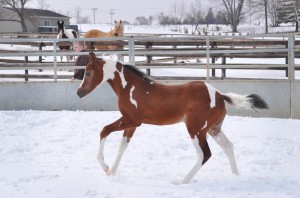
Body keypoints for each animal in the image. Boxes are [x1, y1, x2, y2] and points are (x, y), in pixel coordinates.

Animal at [77, 52, 270, 184]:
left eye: (88, 73)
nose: (79, 92)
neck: (131, 88)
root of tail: (220, 96)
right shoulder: (131, 123)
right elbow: (121, 147)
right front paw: (111, 172)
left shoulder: (132, 120)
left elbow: (104, 130)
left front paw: (105, 166)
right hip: (214, 129)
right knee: (228, 147)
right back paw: (236, 176)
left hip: (196, 130)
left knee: (204, 154)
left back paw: (183, 181)